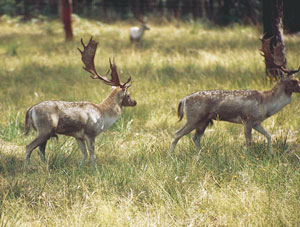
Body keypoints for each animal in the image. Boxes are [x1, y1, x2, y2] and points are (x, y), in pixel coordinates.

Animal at [24, 37, 137, 168]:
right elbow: (92, 155)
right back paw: (26, 167)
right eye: (128, 95)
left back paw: (46, 167)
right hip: (45, 129)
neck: (103, 114)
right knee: (29, 147)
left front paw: (80, 168)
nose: (135, 102)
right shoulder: (90, 133)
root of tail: (31, 109)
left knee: (40, 150)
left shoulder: (78, 136)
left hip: (45, 132)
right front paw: (95, 169)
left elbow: (84, 154)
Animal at [169, 37, 300, 154]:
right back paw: (170, 156)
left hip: (204, 121)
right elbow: (249, 141)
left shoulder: (257, 122)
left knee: (196, 138)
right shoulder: (247, 119)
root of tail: (184, 100)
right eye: (294, 81)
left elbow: (269, 135)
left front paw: (271, 154)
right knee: (177, 134)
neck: (266, 103)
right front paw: (248, 157)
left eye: (297, 79)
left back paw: (201, 155)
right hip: (194, 117)